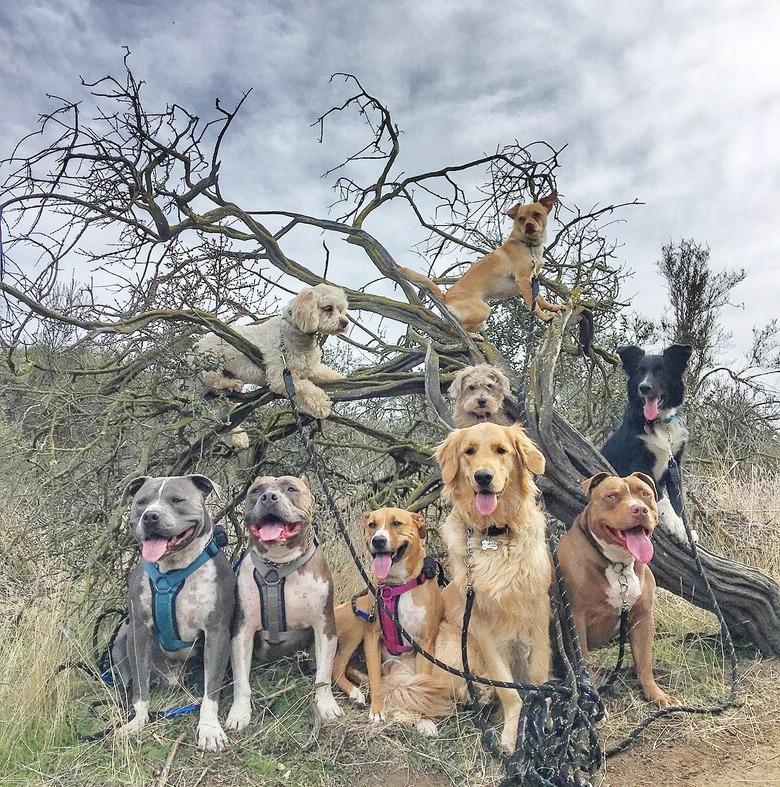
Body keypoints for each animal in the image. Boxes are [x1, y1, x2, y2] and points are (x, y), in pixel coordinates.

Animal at [195, 284, 350, 418]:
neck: (296, 332)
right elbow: (306, 388)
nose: (345, 322)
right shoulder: (282, 377)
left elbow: (327, 373)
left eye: (342, 310)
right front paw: (323, 405)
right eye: (328, 308)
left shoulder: (311, 368)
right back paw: (230, 384)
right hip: (210, 366)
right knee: (214, 380)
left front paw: (343, 379)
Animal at [229, 474, 344, 732]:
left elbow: (324, 675)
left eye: (291, 488)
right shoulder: (242, 630)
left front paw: (326, 705)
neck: (278, 565)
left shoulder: (325, 626)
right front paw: (239, 713)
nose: (269, 497)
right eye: (256, 490)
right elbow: (241, 681)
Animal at [332, 510, 448, 740]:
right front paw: (377, 711)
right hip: (358, 622)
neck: (396, 587)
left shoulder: (426, 643)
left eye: (396, 523)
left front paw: (425, 720)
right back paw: (355, 692)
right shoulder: (371, 636)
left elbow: (423, 681)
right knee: (337, 666)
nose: (378, 540)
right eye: (372, 525)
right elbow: (376, 677)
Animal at [402, 196, 560, 336]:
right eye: (521, 218)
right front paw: (545, 317)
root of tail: (445, 297)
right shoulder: (523, 280)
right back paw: (474, 337)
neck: (529, 245)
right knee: (456, 329)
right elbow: (534, 306)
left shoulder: (532, 280)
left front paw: (554, 307)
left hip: (481, 322)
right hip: (484, 310)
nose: (528, 225)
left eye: (537, 214)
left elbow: (541, 300)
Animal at [556, 470, 680, 712]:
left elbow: (644, 662)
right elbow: (584, 662)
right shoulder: (576, 618)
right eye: (612, 496)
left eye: (645, 494)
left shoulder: (643, 617)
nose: (639, 509)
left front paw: (657, 695)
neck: (619, 564)